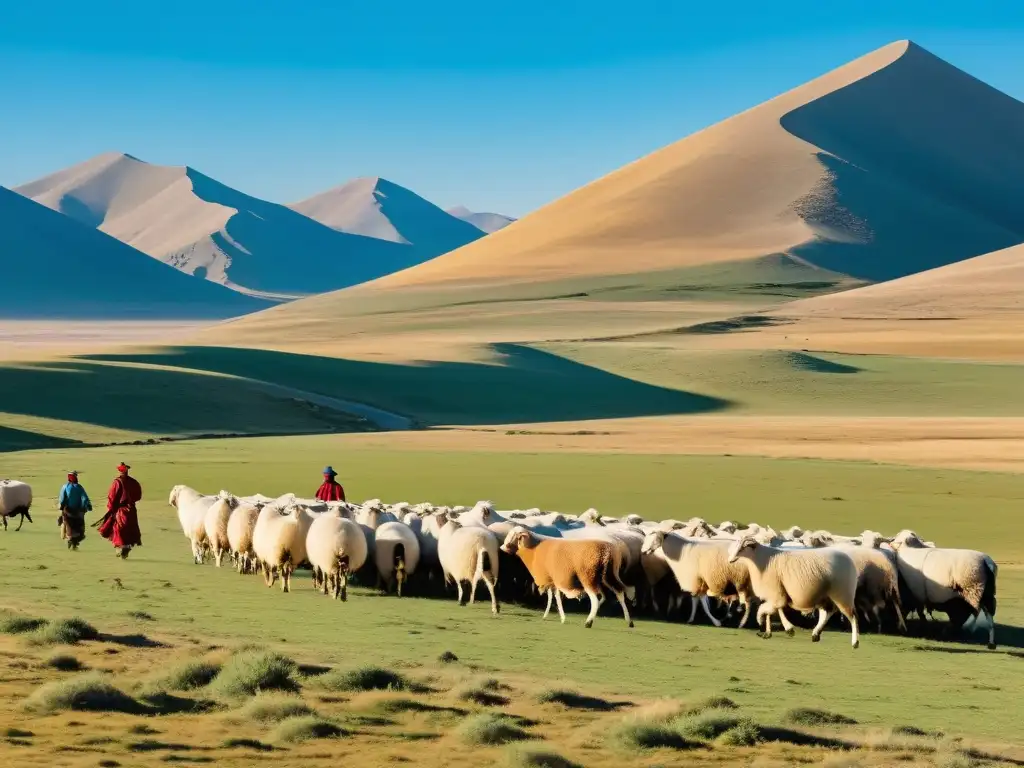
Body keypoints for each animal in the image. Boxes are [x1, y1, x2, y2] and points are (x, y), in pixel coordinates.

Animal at [497, 528, 630, 630]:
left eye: (514, 536)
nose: (502, 547)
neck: (534, 549)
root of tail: (606, 552)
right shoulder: (553, 579)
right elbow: (554, 596)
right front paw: (551, 615)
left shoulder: (553, 578)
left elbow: (554, 596)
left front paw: (560, 617)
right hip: (608, 575)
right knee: (618, 593)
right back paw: (629, 622)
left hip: (587, 576)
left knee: (596, 599)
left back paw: (588, 622)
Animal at [724, 536, 860, 651]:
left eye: (742, 548)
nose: (730, 560)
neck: (761, 561)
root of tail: (850, 561)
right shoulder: (775, 594)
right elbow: (773, 611)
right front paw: (770, 632)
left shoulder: (776, 594)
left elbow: (764, 609)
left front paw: (763, 622)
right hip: (823, 595)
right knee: (827, 612)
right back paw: (816, 634)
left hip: (843, 594)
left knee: (852, 616)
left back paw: (855, 643)